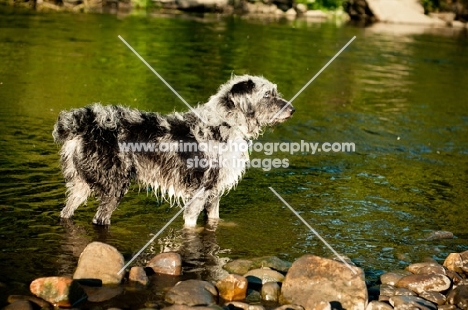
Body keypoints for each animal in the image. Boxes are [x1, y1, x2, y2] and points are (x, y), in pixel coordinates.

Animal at [53, 74, 294, 226]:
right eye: (267, 95)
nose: (292, 109)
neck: (225, 123)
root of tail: (84, 123)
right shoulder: (199, 193)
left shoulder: (214, 192)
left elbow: (215, 219)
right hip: (115, 186)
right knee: (100, 219)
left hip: (80, 186)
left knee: (66, 212)